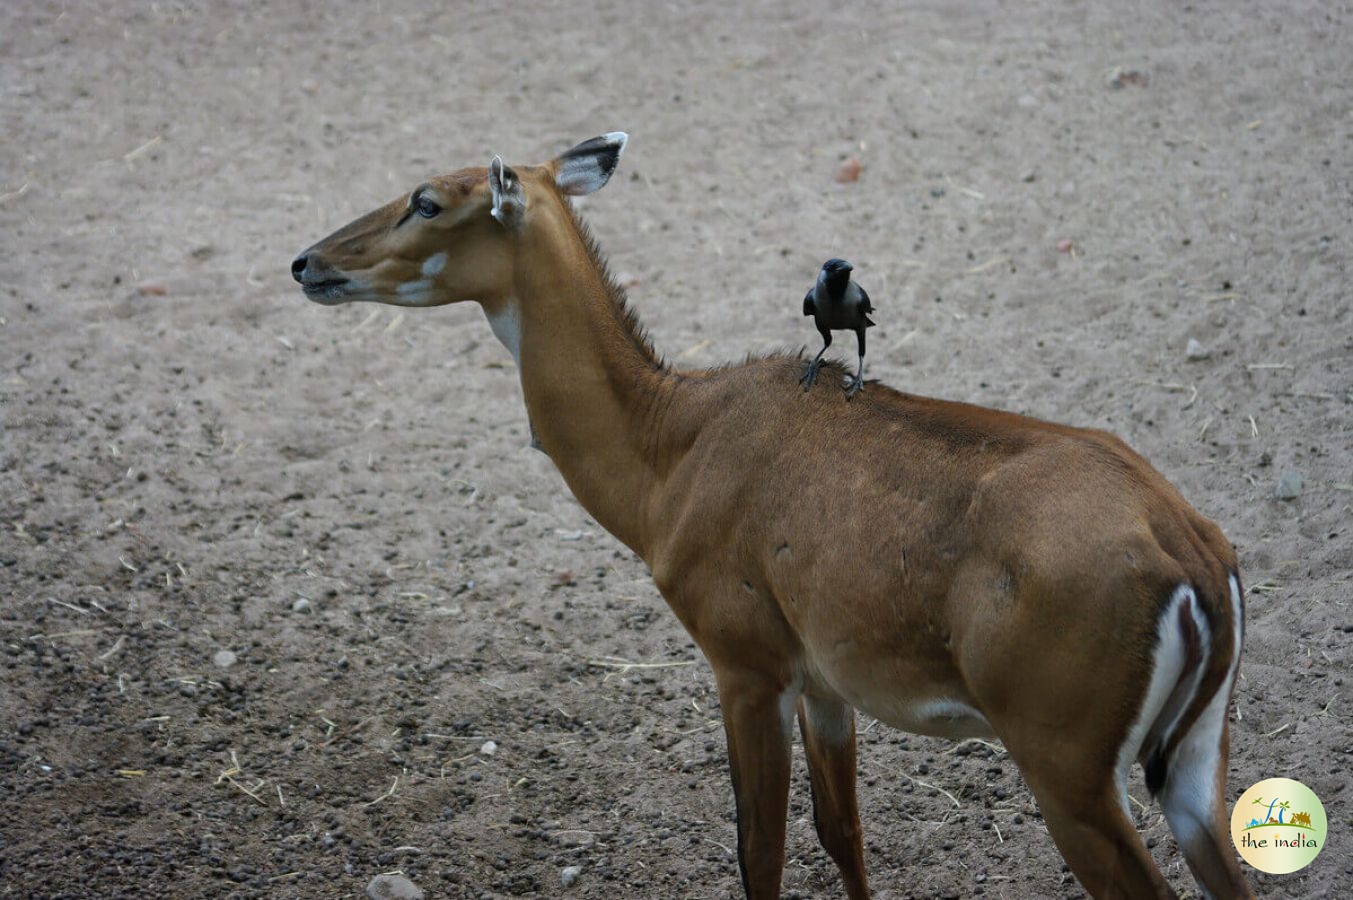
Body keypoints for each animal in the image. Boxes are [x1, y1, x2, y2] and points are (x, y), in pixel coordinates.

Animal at [296, 133, 1255, 898]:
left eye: (427, 199)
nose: (307, 262)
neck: (668, 451)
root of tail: (1193, 559)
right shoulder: (824, 679)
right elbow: (843, 834)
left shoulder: (745, 659)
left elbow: (758, 849)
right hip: (1192, 759)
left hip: (1065, 765)